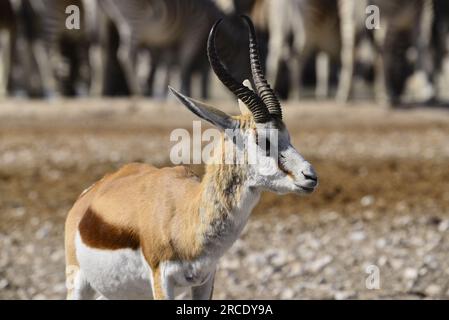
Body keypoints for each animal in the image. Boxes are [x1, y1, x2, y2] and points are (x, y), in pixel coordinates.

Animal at [64, 16, 318, 298]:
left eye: (288, 136)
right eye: (262, 140)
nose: (310, 176)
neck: (187, 216)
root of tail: (89, 196)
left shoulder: (206, 278)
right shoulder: (161, 279)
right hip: (78, 284)